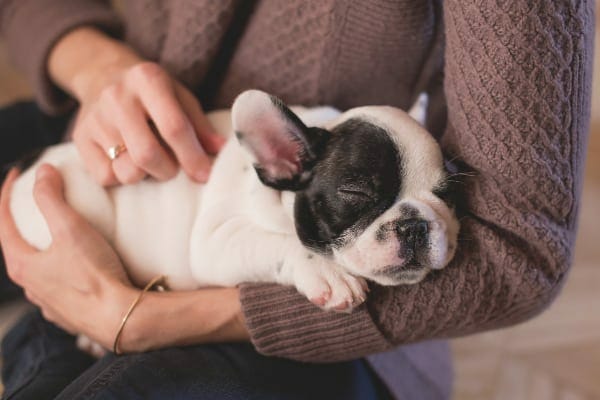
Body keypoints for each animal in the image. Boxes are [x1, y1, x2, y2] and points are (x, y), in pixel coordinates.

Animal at [9, 88, 460, 316]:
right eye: (357, 193)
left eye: (447, 194)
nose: (415, 225)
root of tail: (29, 164)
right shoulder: (215, 241)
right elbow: (281, 243)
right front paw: (328, 274)